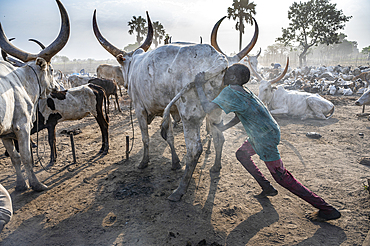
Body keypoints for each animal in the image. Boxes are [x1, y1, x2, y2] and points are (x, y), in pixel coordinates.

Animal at [0, 0, 69, 192]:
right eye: (51, 70)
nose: (59, 88)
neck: (20, 81)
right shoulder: (21, 127)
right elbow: (25, 157)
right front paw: (35, 184)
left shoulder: (7, 134)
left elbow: (16, 158)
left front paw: (21, 185)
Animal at [93, 10, 258, 201]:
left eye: (121, 66)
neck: (135, 63)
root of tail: (220, 59)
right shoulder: (169, 109)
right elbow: (169, 137)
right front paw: (175, 162)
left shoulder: (140, 109)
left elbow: (145, 138)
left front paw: (144, 162)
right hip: (215, 110)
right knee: (219, 137)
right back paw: (216, 167)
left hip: (189, 114)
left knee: (194, 149)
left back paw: (179, 190)